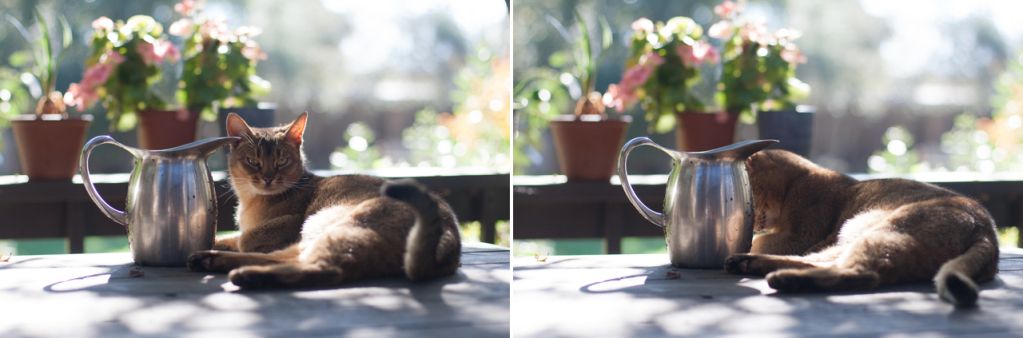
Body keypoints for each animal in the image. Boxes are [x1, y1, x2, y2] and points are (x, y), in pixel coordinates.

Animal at [186, 111, 462, 288]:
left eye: (282, 160)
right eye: (253, 161)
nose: (268, 178)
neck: (250, 202)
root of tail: (449, 237)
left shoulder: (289, 222)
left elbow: (245, 239)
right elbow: (229, 238)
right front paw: (214, 244)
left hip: (331, 224)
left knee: (322, 268)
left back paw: (244, 274)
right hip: (317, 231)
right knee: (292, 257)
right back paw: (208, 259)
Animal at [728, 149, 998, 307]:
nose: (754, 222)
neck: (797, 181)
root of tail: (986, 231)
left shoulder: (800, 235)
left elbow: (762, 240)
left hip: (881, 229)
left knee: (859, 273)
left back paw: (780, 277)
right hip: (855, 235)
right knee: (826, 262)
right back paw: (748, 263)